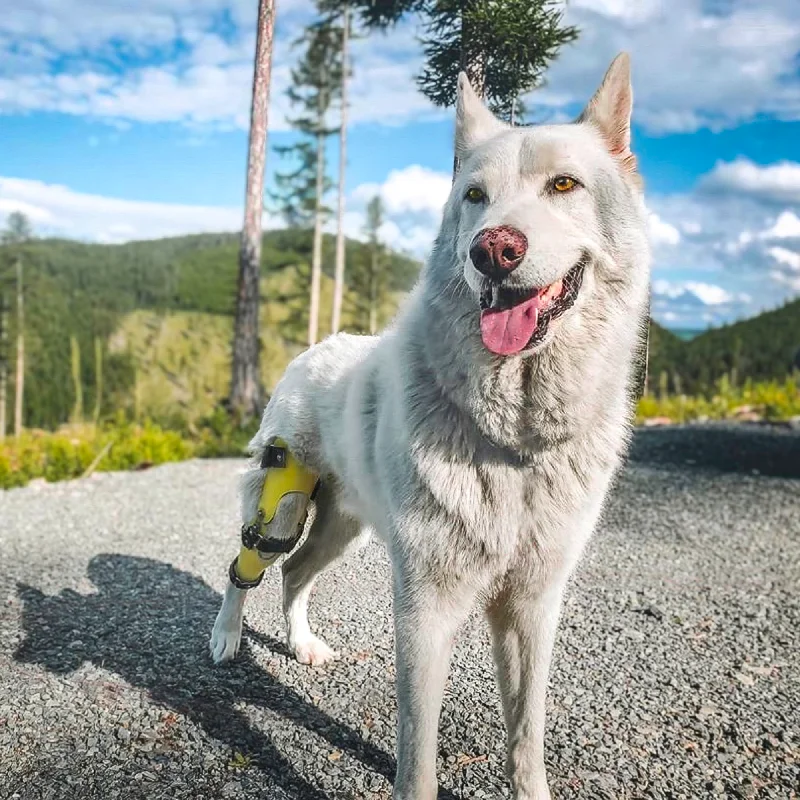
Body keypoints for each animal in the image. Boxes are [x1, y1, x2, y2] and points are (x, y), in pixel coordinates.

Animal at [211, 53, 648, 796]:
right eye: (474, 195)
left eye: (564, 184)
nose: (494, 249)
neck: (512, 441)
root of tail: (316, 347)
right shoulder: (424, 609)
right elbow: (417, 751)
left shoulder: (533, 606)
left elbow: (526, 734)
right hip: (280, 506)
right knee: (248, 567)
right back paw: (225, 637)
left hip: (345, 527)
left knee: (296, 574)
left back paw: (301, 644)